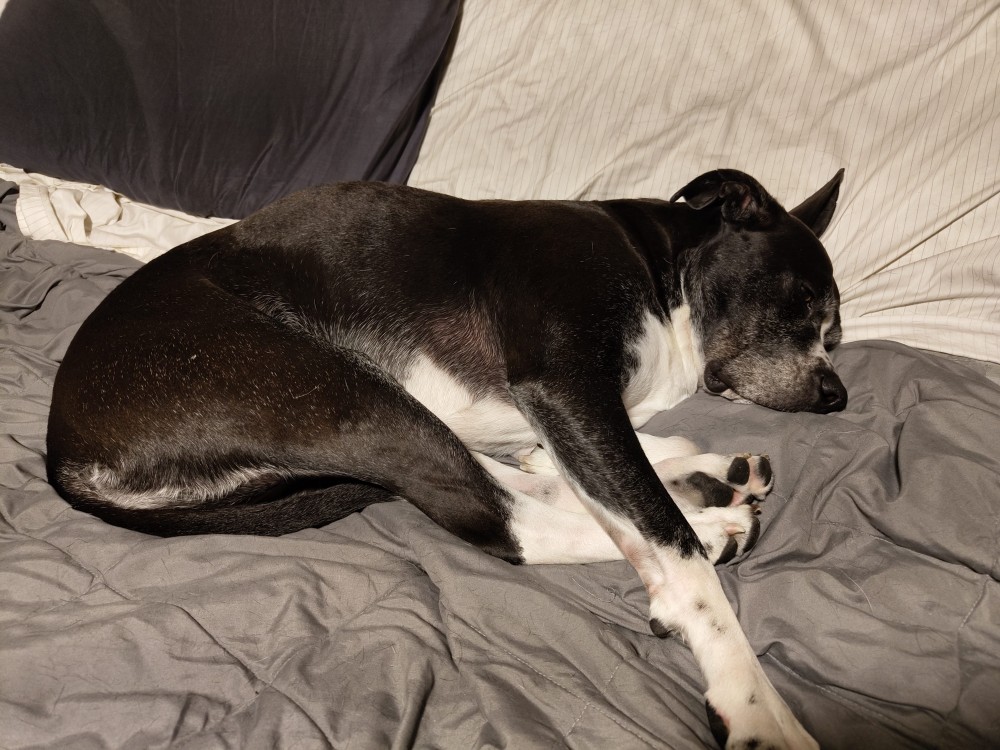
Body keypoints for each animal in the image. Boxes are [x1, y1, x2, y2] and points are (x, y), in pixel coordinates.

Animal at [47, 170, 844, 750]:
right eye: (803, 302)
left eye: (835, 332)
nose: (836, 393)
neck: (661, 268)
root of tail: (63, 455)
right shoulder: (565, 386)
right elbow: (661, 536)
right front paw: (754, 702)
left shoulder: (566, 416)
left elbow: (615, 468)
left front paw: (694, 469)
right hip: (339, 390)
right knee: (502, 521)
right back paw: (714, 528)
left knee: (494, 485)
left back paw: (714, 487)